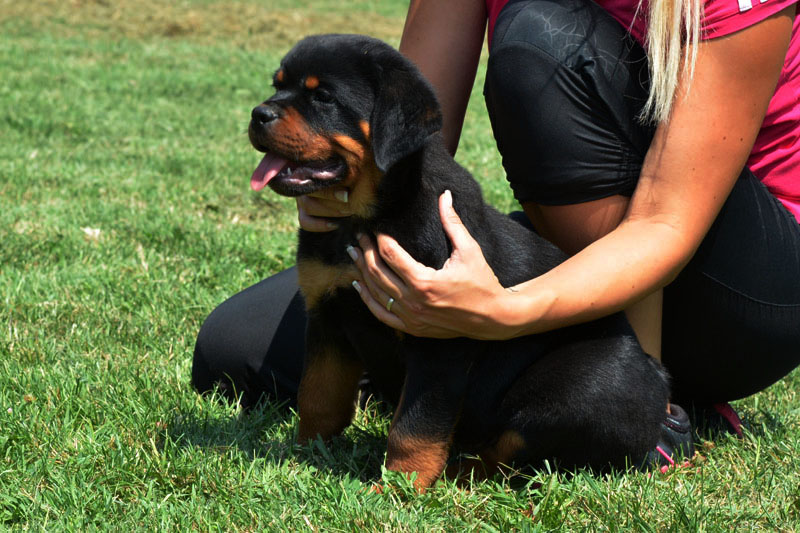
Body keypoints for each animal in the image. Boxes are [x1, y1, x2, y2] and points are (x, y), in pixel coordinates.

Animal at [248, 34, 668, 490]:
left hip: (583, 387)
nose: (258, 114)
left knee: (512, 452)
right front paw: (303, 455)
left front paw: (398, 487)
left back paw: (455, 473)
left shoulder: (440, 338)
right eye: (277, 86)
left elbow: (414, 426)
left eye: (323, 96)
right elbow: (318, 395)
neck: (367, 216)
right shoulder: (327, 312)